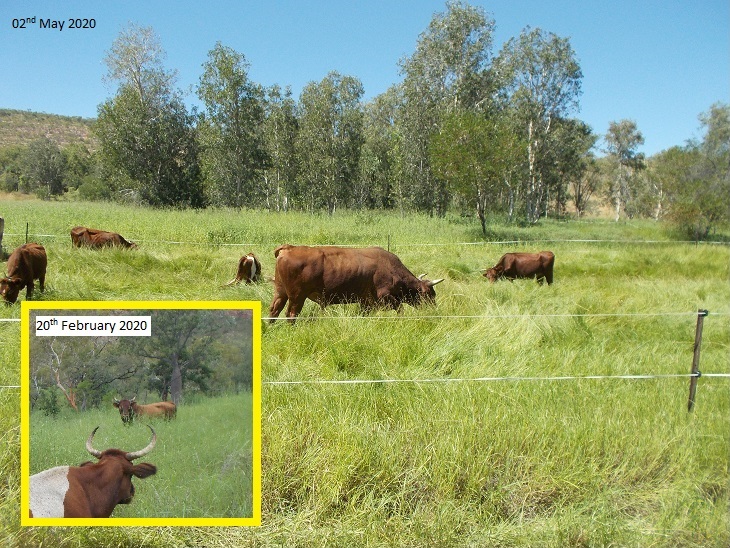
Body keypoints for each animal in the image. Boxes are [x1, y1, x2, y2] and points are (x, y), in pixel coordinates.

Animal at [266, 243, 438, 322]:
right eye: (429, 294)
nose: (434, 311)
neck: (392, 269)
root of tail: (289, 248)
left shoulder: (366, 302)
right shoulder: (386, 296)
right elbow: (400, 309)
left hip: (281, 293)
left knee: (274, 310)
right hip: (297, 296)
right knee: (291, 314)